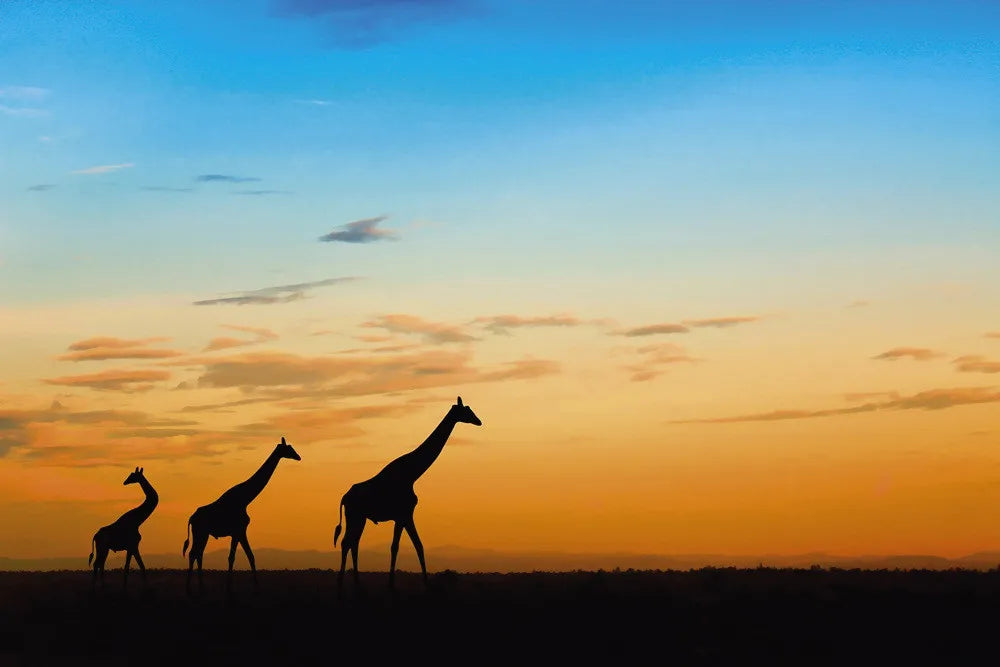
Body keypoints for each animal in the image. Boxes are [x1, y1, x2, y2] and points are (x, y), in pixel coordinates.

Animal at [182, 436, 300, 594]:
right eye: (289, 449)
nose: (298, 457)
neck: (245, 498)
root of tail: (191, 518)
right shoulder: (237, 531)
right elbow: (232, 557)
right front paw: (229, 588)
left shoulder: (241, 531)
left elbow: (250, 556)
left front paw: (257, 587)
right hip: (200, 532)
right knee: (193, 553)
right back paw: (189, 588)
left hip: (203, 534)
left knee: (198, 554)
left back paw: (201, 588)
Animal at [334, 396, 482, 593]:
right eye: (466, 410)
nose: (479, 421)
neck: (412, 473)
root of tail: (344, 497)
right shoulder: (403, 514)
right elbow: (397, 547)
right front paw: (394, 586)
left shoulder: (405, 516)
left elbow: (417, 546)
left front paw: (425, 585)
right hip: (354, 516)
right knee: (347, 542)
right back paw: (341, 585)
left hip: (360, 517)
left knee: (353, 543)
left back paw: (357, 585)